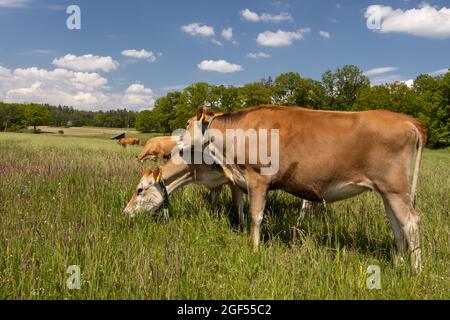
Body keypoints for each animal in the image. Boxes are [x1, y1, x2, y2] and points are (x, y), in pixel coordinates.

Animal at [178, 106, 426, 272]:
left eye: (188, 123)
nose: (179, 146)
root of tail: (407, 120)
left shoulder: (258, 178)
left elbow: (256, 216)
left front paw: (254, 249)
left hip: (395, 188)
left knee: (411, 222)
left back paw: (416, 270)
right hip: (387, 191)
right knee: (396, 224)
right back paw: (399, 263)